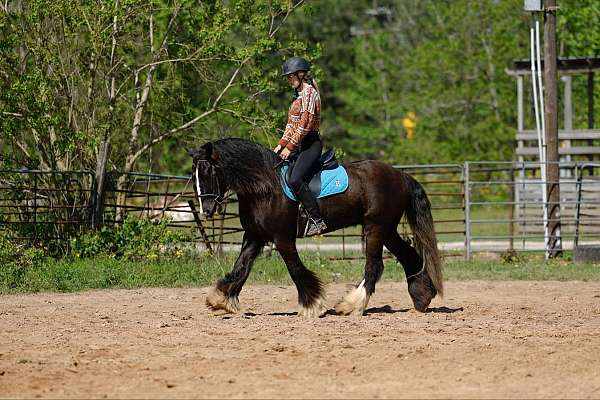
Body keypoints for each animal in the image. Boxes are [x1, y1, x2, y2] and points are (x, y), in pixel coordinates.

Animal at [186, 139, 440, 318]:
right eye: (194, 174)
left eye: (208, 171)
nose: (206, 210)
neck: (265, 187)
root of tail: (401, 175)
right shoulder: (255, 236)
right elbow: (241, 267)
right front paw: (220, 298)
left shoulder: (282, 238)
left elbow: (295, 269)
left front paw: (312, 305)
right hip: (387, 230)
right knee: (409, 256)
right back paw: (422, 296)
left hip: (376, 228)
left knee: (374, 266)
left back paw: (351, 305)